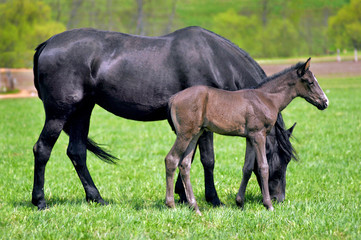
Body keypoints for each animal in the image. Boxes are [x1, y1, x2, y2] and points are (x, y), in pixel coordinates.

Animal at [31, 26, 296, 210]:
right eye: (281, 159)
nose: (279, 199)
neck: (214, 60)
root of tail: (47, 44)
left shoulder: (191, 126)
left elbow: (186, 158)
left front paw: (181, 194)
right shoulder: (204, 126)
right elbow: (207, 160)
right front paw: (213, 199)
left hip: (82, 110)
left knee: (77, 152)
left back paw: (96, 198)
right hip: (59, 113)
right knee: (42, 149)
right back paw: (40, 201)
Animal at [165, 58, 328, 214]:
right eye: (310, 82)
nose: (325, 102)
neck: (266, 99)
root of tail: (173, 99)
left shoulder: (250, 138)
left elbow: (247, 168)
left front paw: (240, 202)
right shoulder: (259, 134)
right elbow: (263, 167)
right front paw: (268, 205)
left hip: (195, 134)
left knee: (185, 164)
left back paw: (195, 207)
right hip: (185, 134)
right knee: (171, 159)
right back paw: (171, 205)